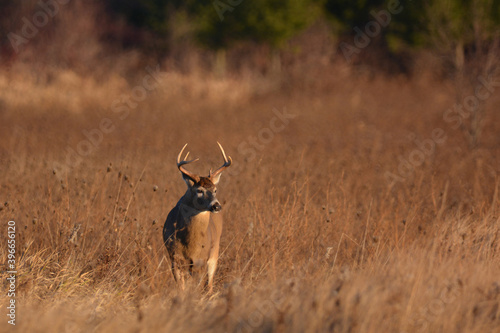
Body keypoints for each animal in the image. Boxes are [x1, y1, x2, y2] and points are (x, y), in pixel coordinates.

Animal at [164, 141, 232, 292]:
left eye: (215, 190)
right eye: (199, 190)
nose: (216, 206)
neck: (190, 244)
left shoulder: (201, 259)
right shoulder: (175, 258)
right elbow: (181, 288)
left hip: (215, 251)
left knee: (210, 284)